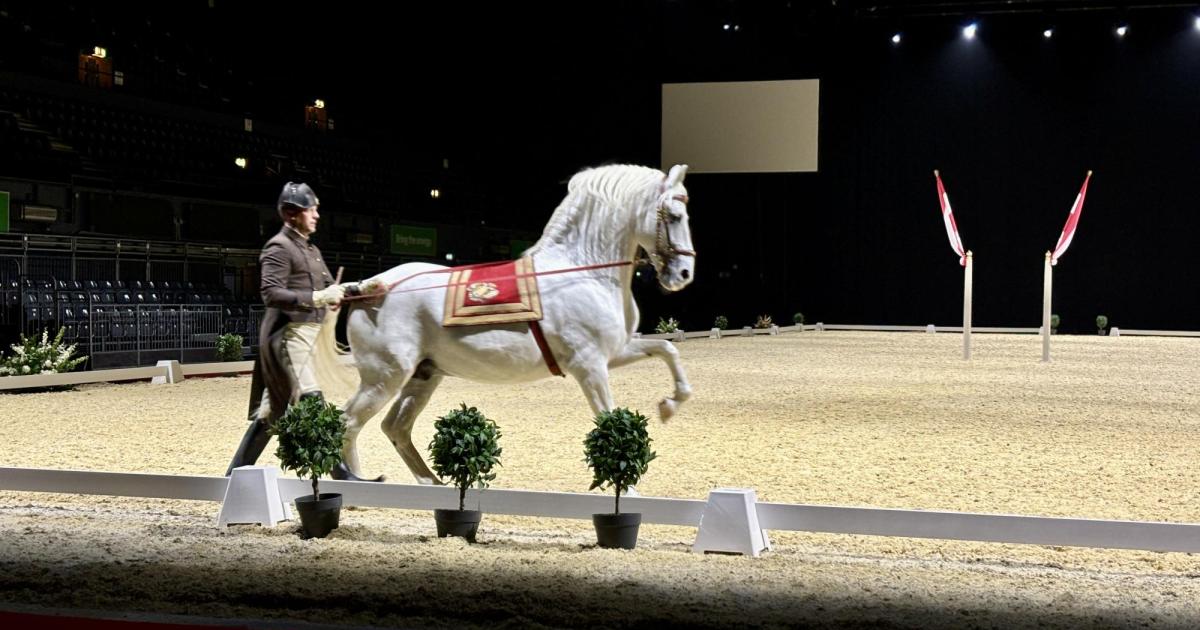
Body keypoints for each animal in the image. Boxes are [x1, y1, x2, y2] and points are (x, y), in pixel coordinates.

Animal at [314, 163, 700, 482]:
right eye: (675, 215)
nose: (683, 274)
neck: (582, 271)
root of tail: (366, 287)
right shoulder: (589, 366)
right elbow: (609, 422)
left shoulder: (613, 353)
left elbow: (667, 350)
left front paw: (669, 406)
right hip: (384, 378)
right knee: (348, 424)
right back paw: (355, 484)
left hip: (422, 376)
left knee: (393, 427)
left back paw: (427, 483)